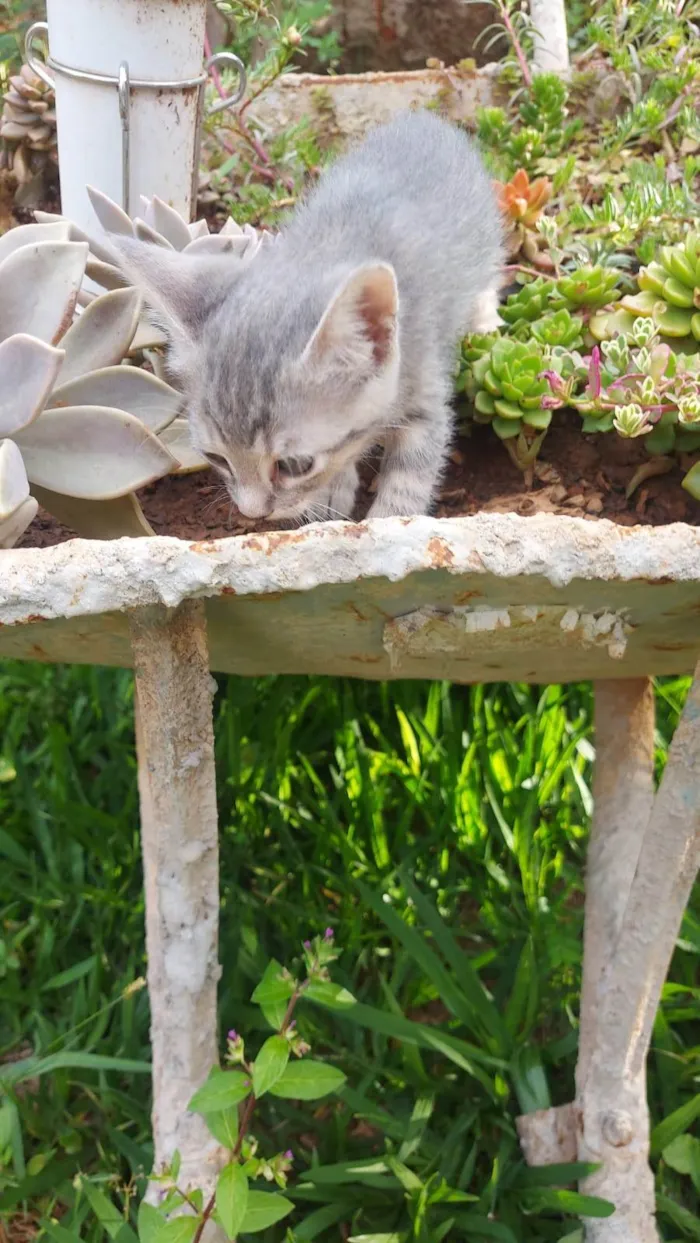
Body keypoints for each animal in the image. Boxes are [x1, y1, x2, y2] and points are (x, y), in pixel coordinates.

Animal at [116, 111, 504, 524]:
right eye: (216, 457)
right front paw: (331, 494)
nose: (253, 514)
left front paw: (385, 521)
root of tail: (423, 118)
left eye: (293, 465)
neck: (332, 246)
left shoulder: (425, 393)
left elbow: (408, 480)